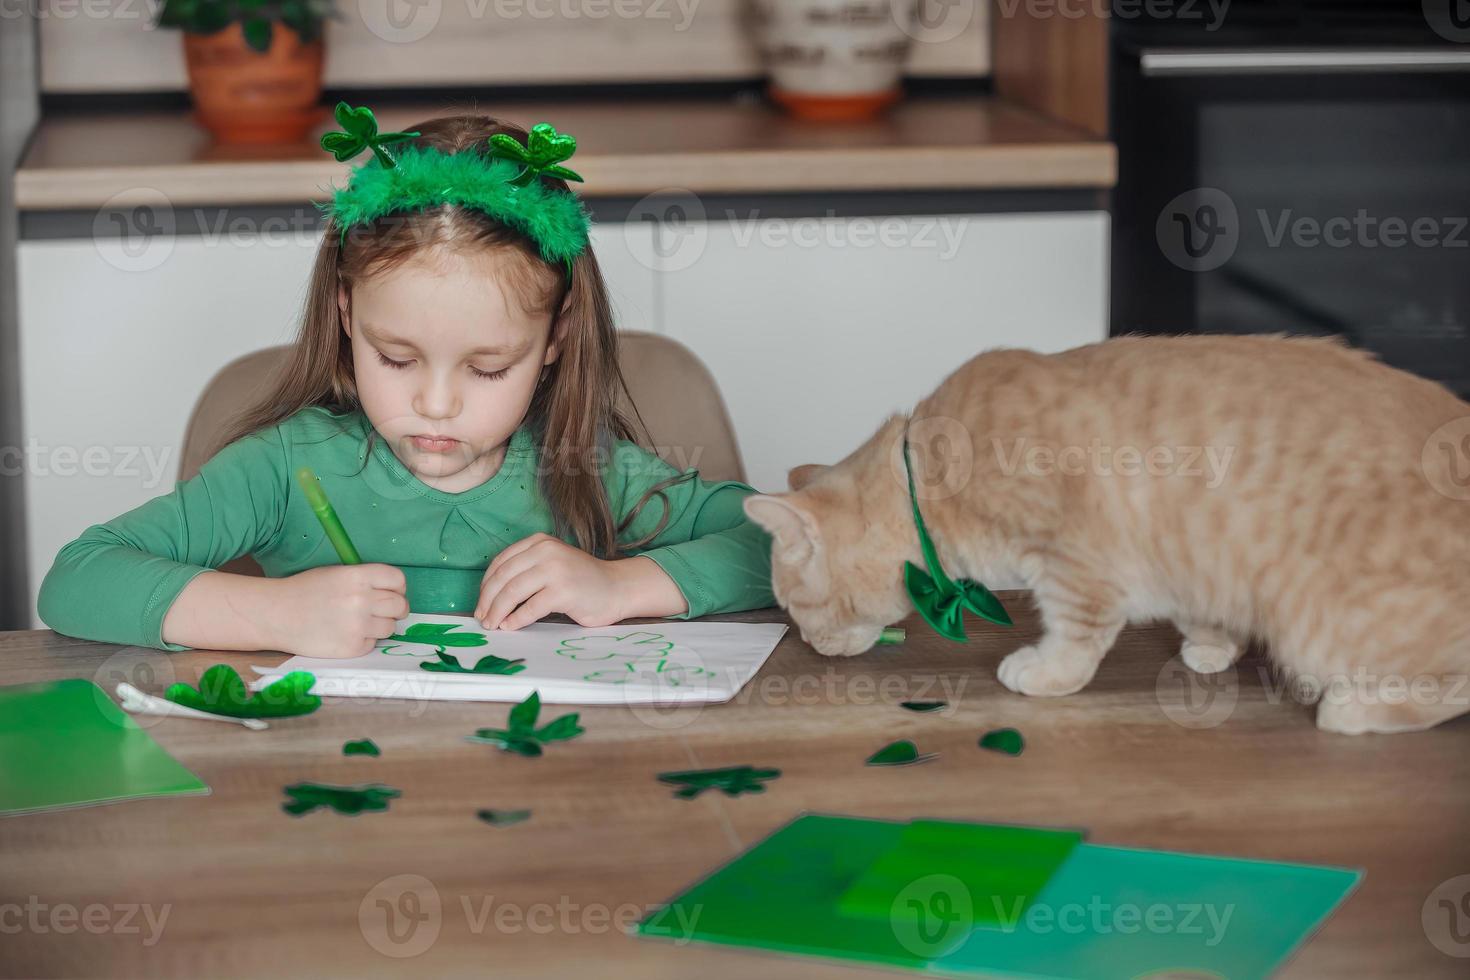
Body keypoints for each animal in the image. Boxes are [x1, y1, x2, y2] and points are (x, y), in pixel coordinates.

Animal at [746, 333, 1470, 731]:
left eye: (793, 607)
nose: (811, 646)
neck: (931, 476)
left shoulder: (1077, 564)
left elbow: (1076, 634)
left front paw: (1044, 672)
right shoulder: (1194, 561)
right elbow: (1203, 608)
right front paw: (1213, 646)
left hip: (1321, 628)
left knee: (1451, 689)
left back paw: (1355, 708)